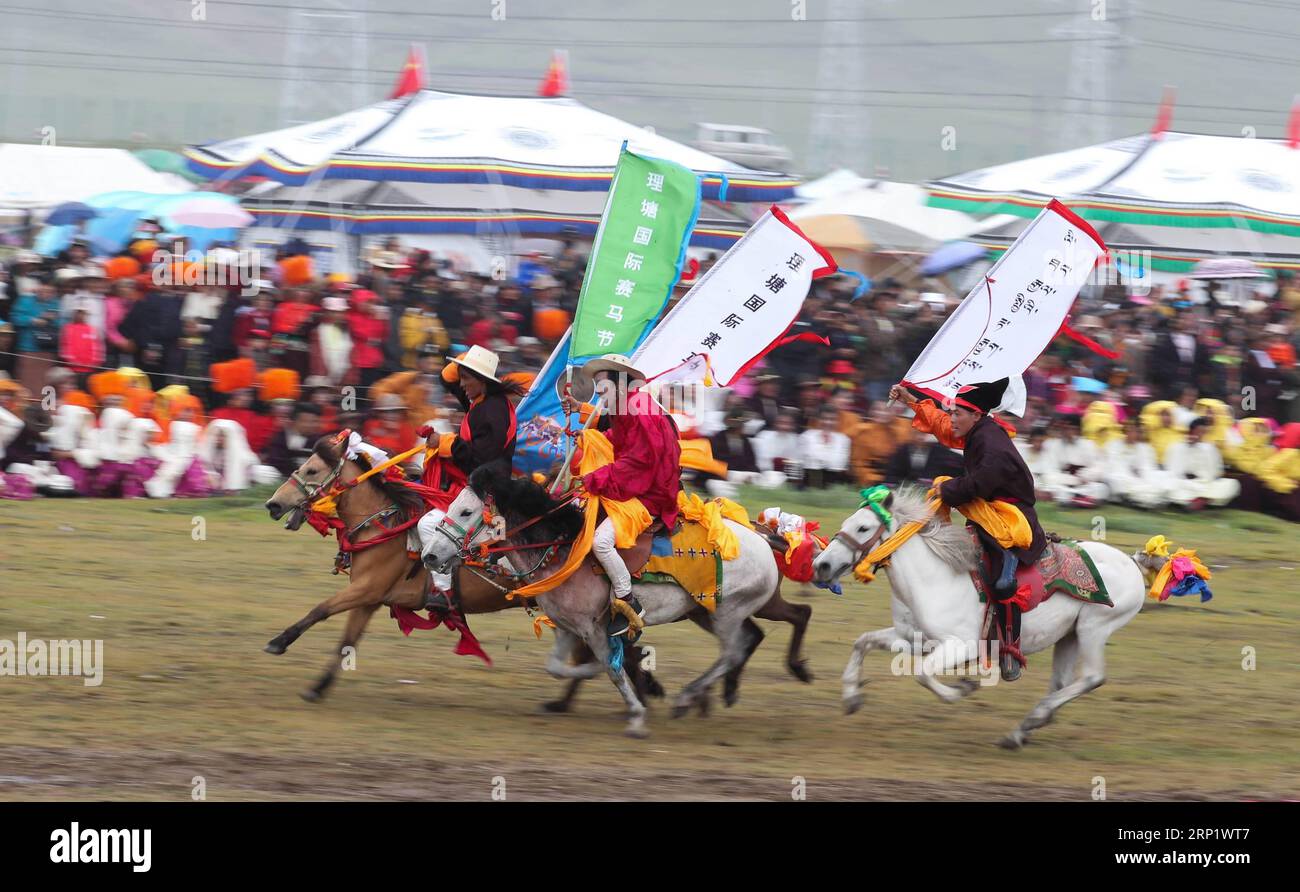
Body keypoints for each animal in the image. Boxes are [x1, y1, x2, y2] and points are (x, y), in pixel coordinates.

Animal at [426, 468, 785, 738]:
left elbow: (611, 669)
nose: (430, 555)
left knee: (732, 651)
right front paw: (622, 675)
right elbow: (558, 667)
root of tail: (763, 539)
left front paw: (637, 713)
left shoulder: (593, 627)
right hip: (703, 611)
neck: (561, 550)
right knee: (743, 643)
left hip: (727, 612)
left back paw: (687, 697)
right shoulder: (567, 627)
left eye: (466, 511)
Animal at [811, 488, 1149, 748]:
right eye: (848, 523)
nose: (821, 565)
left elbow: (922, 674)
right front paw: (851, 697)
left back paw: (1032, 721)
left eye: (863, 528)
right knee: (1061, 682)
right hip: (1070, 635)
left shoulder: (962, 646)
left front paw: (962, 689)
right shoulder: (914, 638)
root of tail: (1131, 563)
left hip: (1094, 628)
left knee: (1092, 677)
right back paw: (1022, 730)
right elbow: (862, 642)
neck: (936, 576)